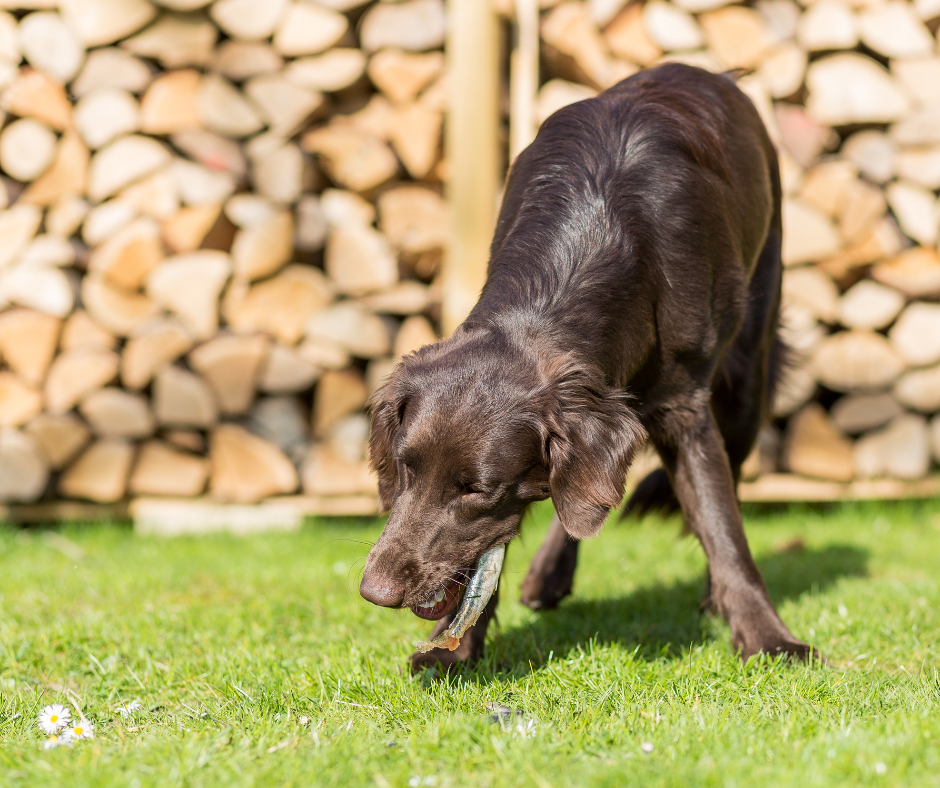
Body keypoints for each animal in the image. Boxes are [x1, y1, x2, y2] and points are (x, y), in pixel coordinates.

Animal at [360, 64, 816, 676]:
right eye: (405, 468)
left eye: (476, 489)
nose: (376, 592)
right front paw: (453, 647)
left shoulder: (685, 409)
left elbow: (723, 529)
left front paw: (768, 638)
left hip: (747, 373)